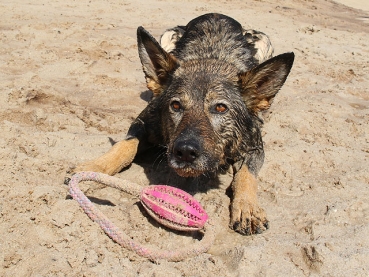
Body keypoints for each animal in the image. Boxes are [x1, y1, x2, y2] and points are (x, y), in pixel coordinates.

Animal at [71, 11, 294, 234]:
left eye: (220, 108)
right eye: (176, 105)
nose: (185, 152)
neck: (210, 59)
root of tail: (217, 14)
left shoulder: (255, 146)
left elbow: (246, 175)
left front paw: (248, 207)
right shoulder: (143, 122)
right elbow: (125, 146)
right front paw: (96, 166)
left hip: (264, 39)